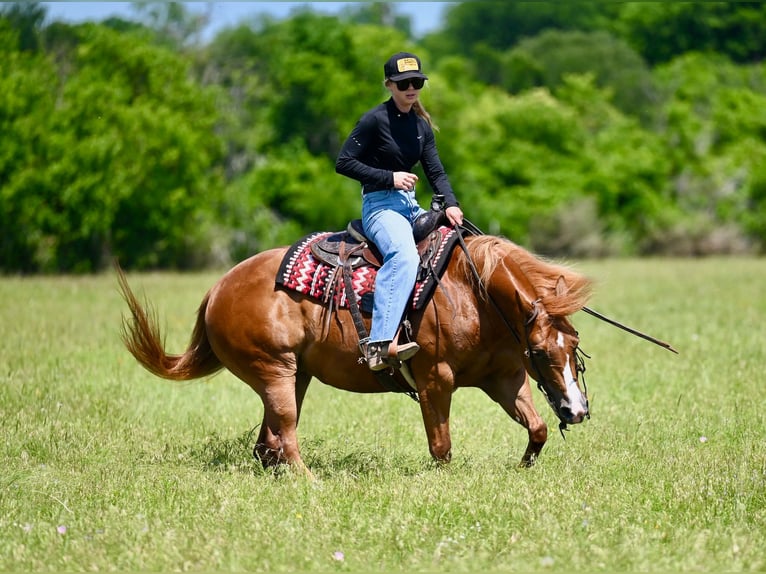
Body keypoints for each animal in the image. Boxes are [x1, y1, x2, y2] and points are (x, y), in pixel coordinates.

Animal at [117, 232, 593, 477]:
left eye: (574, 347)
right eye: (539, 351)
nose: (577, 410)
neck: (471, 291)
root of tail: (218, 288)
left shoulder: (505, 378)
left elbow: (537, 428)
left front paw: (523, 467)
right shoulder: (435, 380)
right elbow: (441, 448)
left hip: (295, 376)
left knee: (267, 443)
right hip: (274, 371)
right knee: (284, 433)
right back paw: (310, 481)